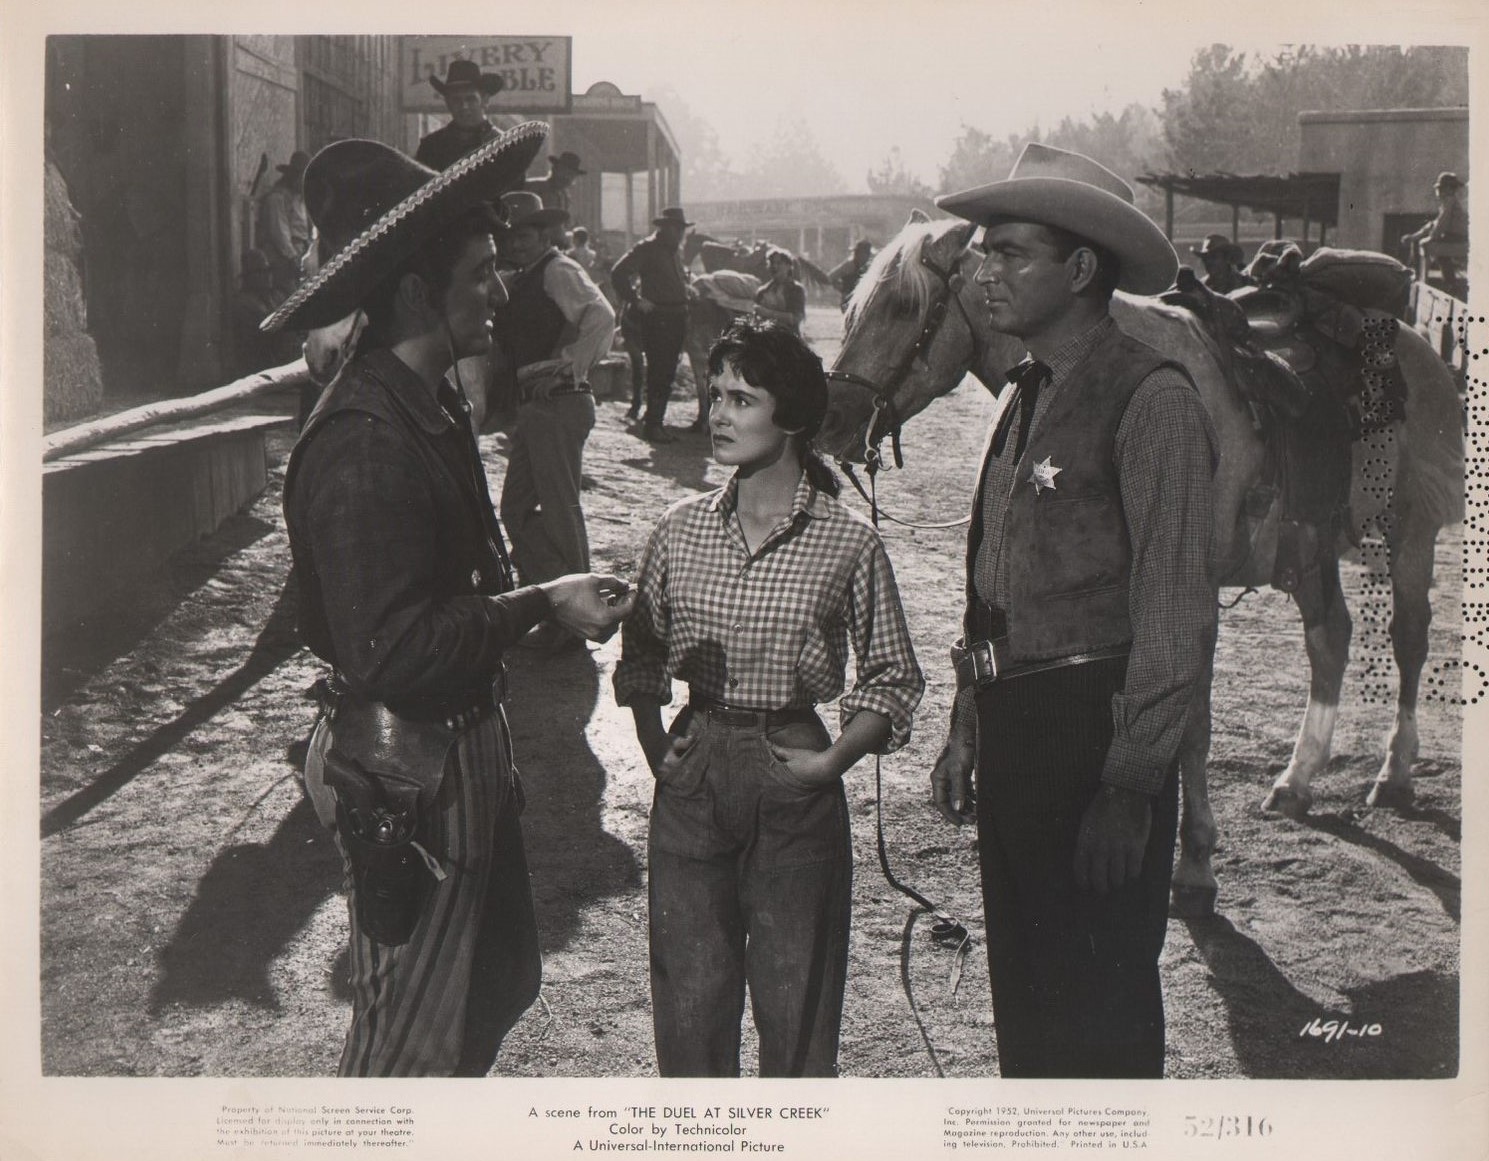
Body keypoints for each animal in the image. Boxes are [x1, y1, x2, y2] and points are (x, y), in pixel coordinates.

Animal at [821, 211, 1471, 916]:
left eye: (904, 306)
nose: (830, 418)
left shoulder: (1185, 593)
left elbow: (1187, 726)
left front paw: (1195, 864)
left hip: (1410, 533)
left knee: (1409, 640)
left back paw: (1394, 771)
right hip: (1311, 546)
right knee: (1331, 639)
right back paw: (1297, 780)